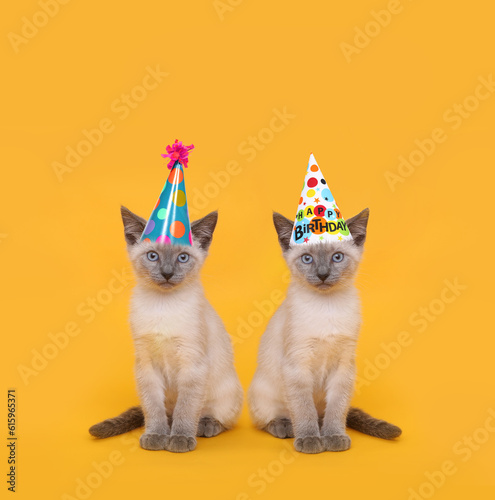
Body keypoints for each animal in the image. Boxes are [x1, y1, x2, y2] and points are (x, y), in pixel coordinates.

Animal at [90, 141, 244, 454]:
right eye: (153, 256)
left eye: (182, 257)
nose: (167, 273)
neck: (163, 306)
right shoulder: (146, 366)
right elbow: (153, 409)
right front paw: (157, 436)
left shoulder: (192, 364)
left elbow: (186, 408)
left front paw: (180, 439)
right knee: (166, 412)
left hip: (226, 391)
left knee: (217, 416)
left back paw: (205, 426)